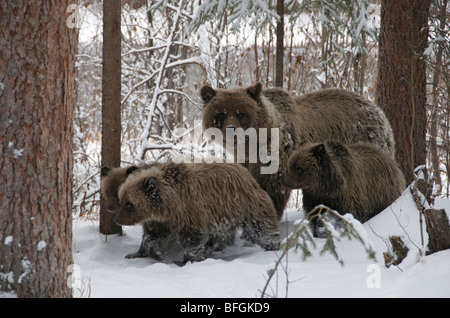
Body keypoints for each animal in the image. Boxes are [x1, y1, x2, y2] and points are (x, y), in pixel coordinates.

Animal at [114, 161, 280, 264]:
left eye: (129, 204)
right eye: (121, 199)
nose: (116, 219)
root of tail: (246, 172)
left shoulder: (191, 213)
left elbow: (193, 239)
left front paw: (185, 259)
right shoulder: (161, 222)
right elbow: (151, 237)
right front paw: (138, 253)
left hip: (244, 204)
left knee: (261, 227)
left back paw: (272, 245)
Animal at [200, 83, 394, 220]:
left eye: (241, 113)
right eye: (221, 113)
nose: (232, 130)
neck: (253, 146)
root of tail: (377, 110)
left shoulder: (278, 153)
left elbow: (271, 187)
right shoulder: (246, 160)